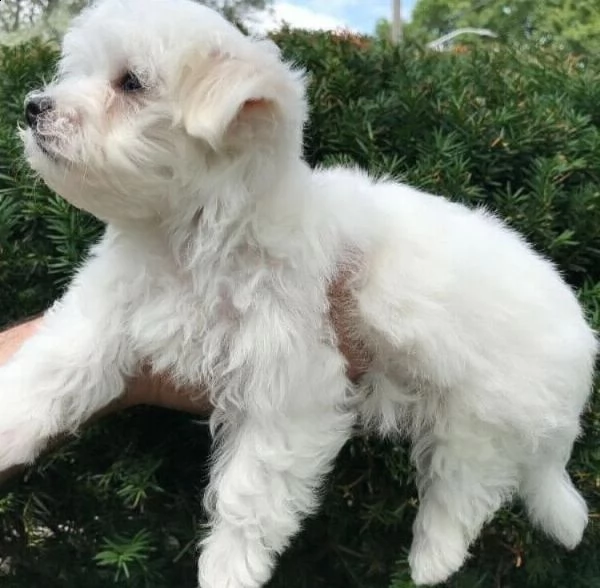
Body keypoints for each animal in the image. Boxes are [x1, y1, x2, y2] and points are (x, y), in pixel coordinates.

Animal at [3, 0, 596, 584]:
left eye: (130, 83)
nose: (33, 107)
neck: (185, 241)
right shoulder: (106, 311)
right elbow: (49, 373)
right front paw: (9, 429)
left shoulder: (291, 385)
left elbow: (252, 488)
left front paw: (228, 569)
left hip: (485, 411)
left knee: (466, 486)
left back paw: (433, 557)